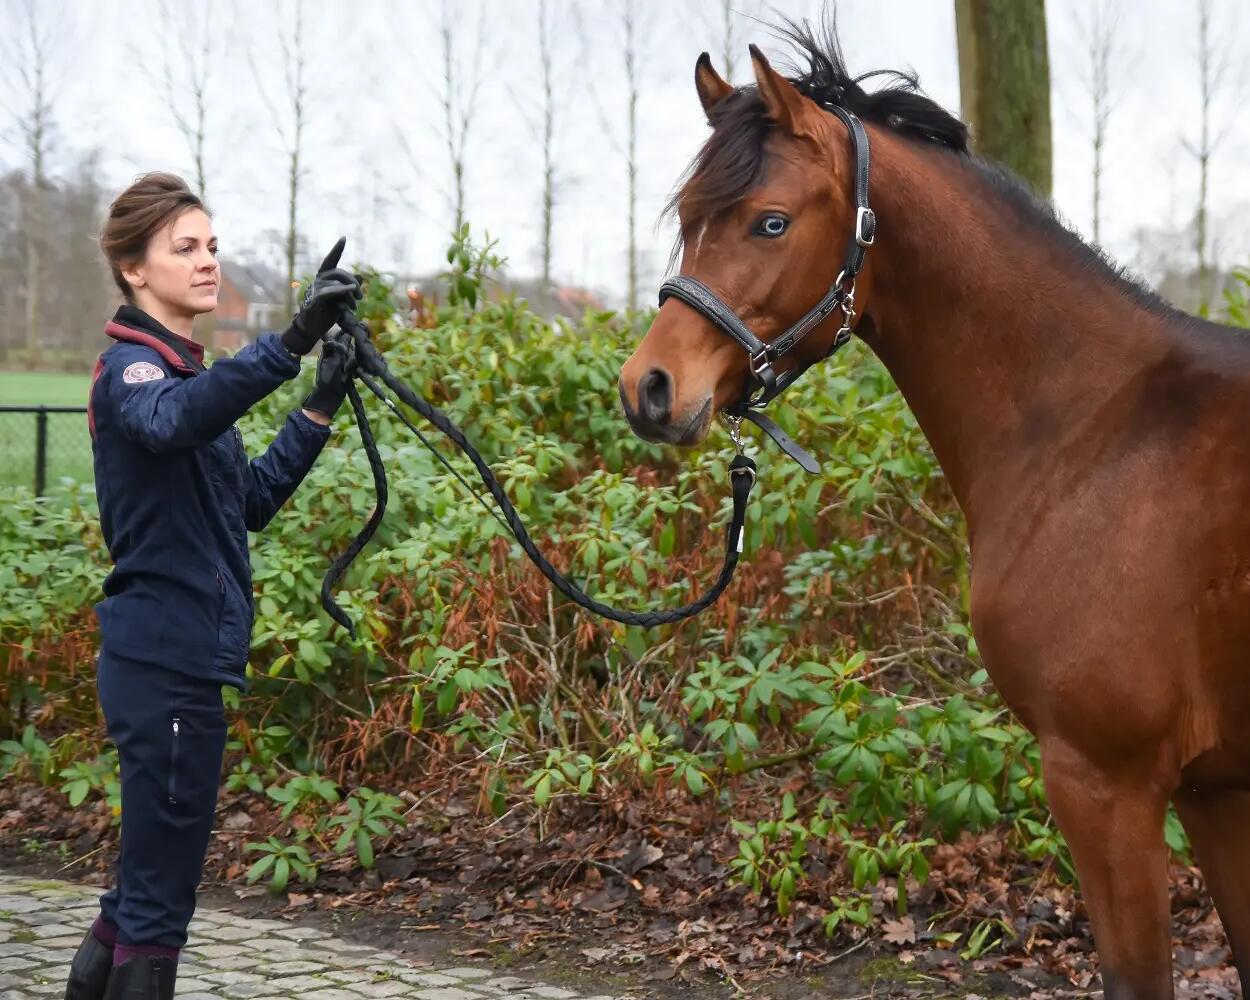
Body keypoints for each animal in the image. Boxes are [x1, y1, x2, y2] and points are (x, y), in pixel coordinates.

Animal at [620, 17, 1250, 1000]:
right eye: (687, 219)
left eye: (771, 220)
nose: (649, 388)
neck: (1099, 429)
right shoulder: (1218, 789)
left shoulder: (1108, 784)